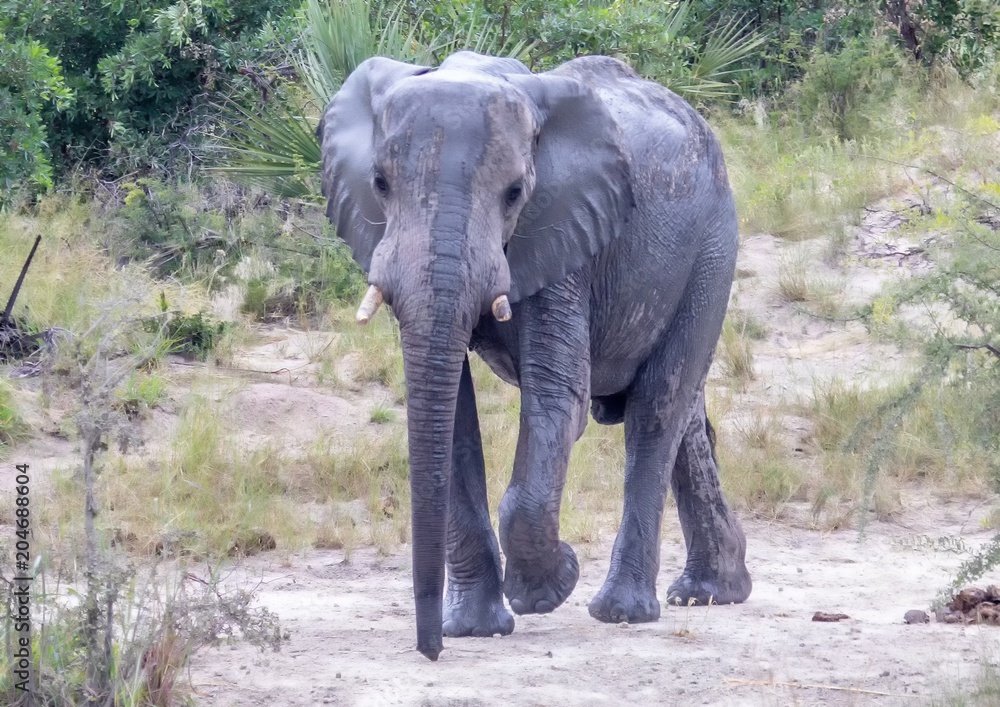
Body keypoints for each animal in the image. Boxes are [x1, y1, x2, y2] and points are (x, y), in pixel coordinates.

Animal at [317, 50, 751, 661]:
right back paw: (711, 592)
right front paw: (474, 629)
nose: (430, 650)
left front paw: (546, 589)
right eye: (379, 183)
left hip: (713, 248)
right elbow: (453, 418)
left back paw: (624, 612)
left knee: (656, 411)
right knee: (684, 411)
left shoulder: (568, 233)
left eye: (516, 192)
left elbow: (557, 398)